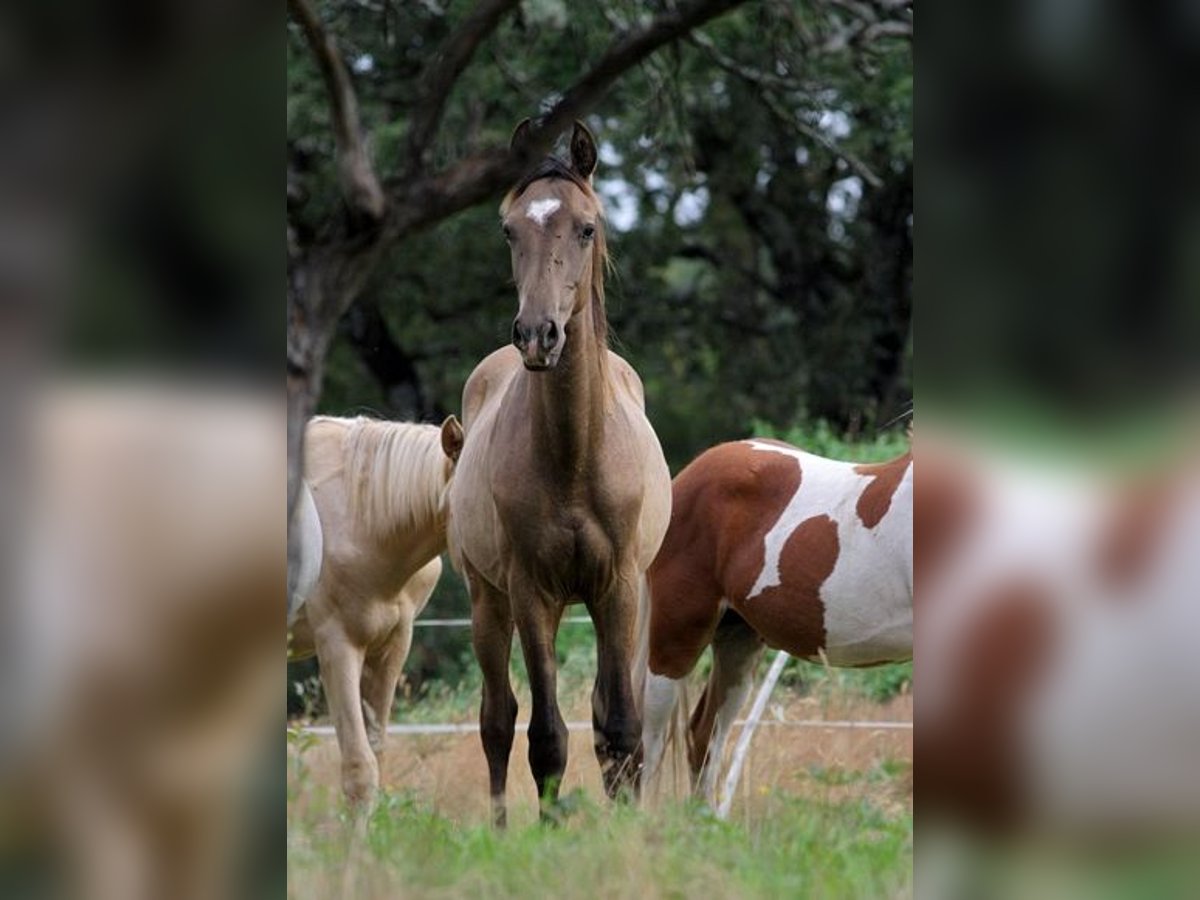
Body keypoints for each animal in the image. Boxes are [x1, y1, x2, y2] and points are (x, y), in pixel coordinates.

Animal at [451, 123, 672, 830]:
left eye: (586, 228)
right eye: (509, 229)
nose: (538, 334)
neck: (574, 459)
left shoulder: (619, 589)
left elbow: (621, 728)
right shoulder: (531, 594)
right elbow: (545, 736)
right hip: (487, 603)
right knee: (497, 720)